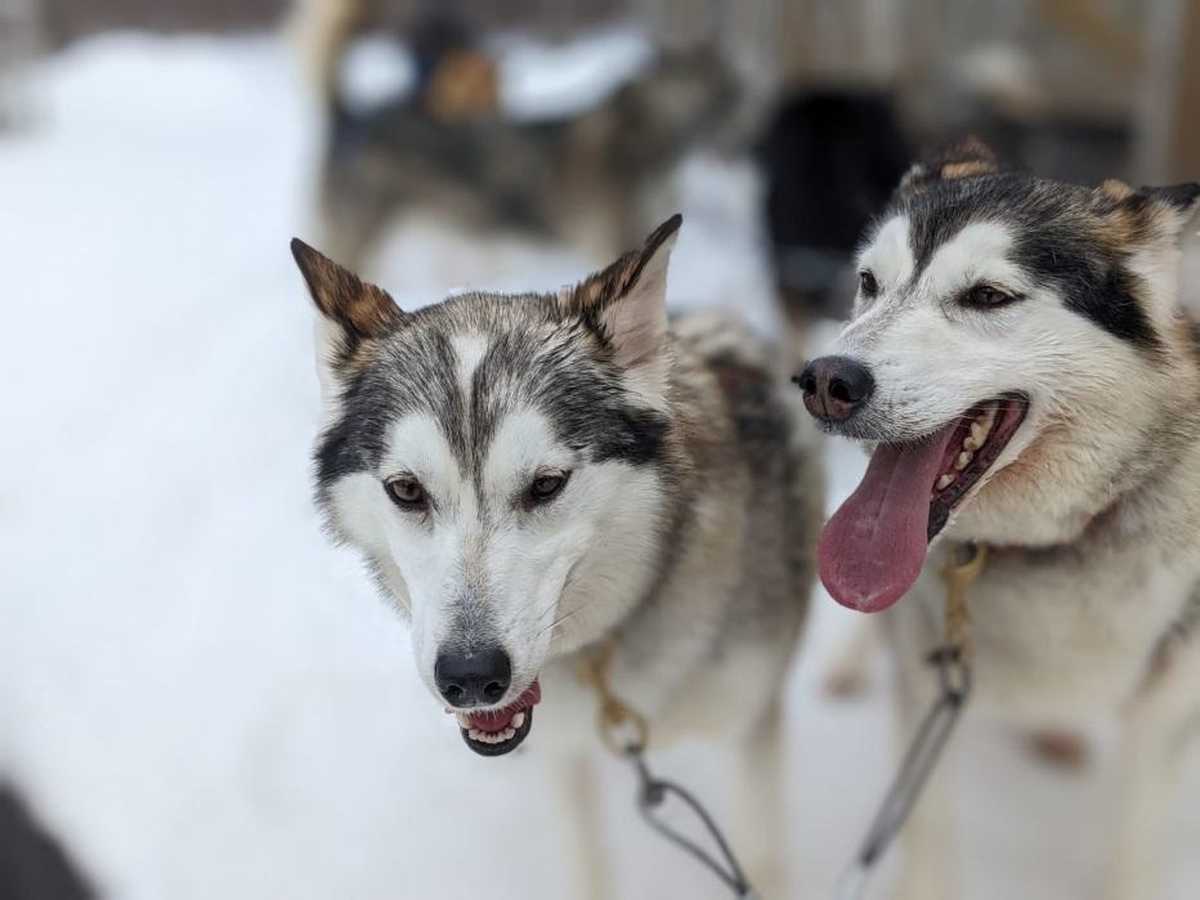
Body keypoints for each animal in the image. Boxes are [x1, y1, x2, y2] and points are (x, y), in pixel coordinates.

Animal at [290, 217, 820, 897]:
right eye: (406, 490)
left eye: (546, 484)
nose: (469, 677)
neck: (608, 656)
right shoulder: (565, 756)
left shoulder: (753, 725)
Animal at [796, 137, 1200, 897]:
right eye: (869, 282)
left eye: (987, 296)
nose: (826, 380)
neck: (1041, 550)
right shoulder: (925, 683)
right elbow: (926, 837)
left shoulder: (1165, 712)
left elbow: (1133, 854)